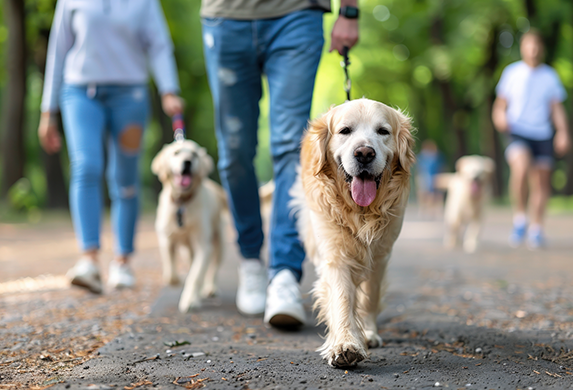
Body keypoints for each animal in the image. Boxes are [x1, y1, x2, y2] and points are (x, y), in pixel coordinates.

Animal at [151, 140, 225, 314]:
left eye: (194, 154)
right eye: (176, 153)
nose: (188, 162)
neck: (182, 202)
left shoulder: (203, 246)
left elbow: (195, 276)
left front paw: (190, 300)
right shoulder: (166, 239)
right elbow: (170, 270)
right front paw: (173, 279)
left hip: (218, 241)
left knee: (212, 268)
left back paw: (210, 288)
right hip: (188, 250)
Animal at [290, 99, 412, 368]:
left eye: (383, 131)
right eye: (345, 131)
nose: (364, 153)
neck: (361, 213)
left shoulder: (380, 255)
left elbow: (370, 297)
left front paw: (367, 333)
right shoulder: (336, 256)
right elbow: (342, 298)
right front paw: (345, 344)